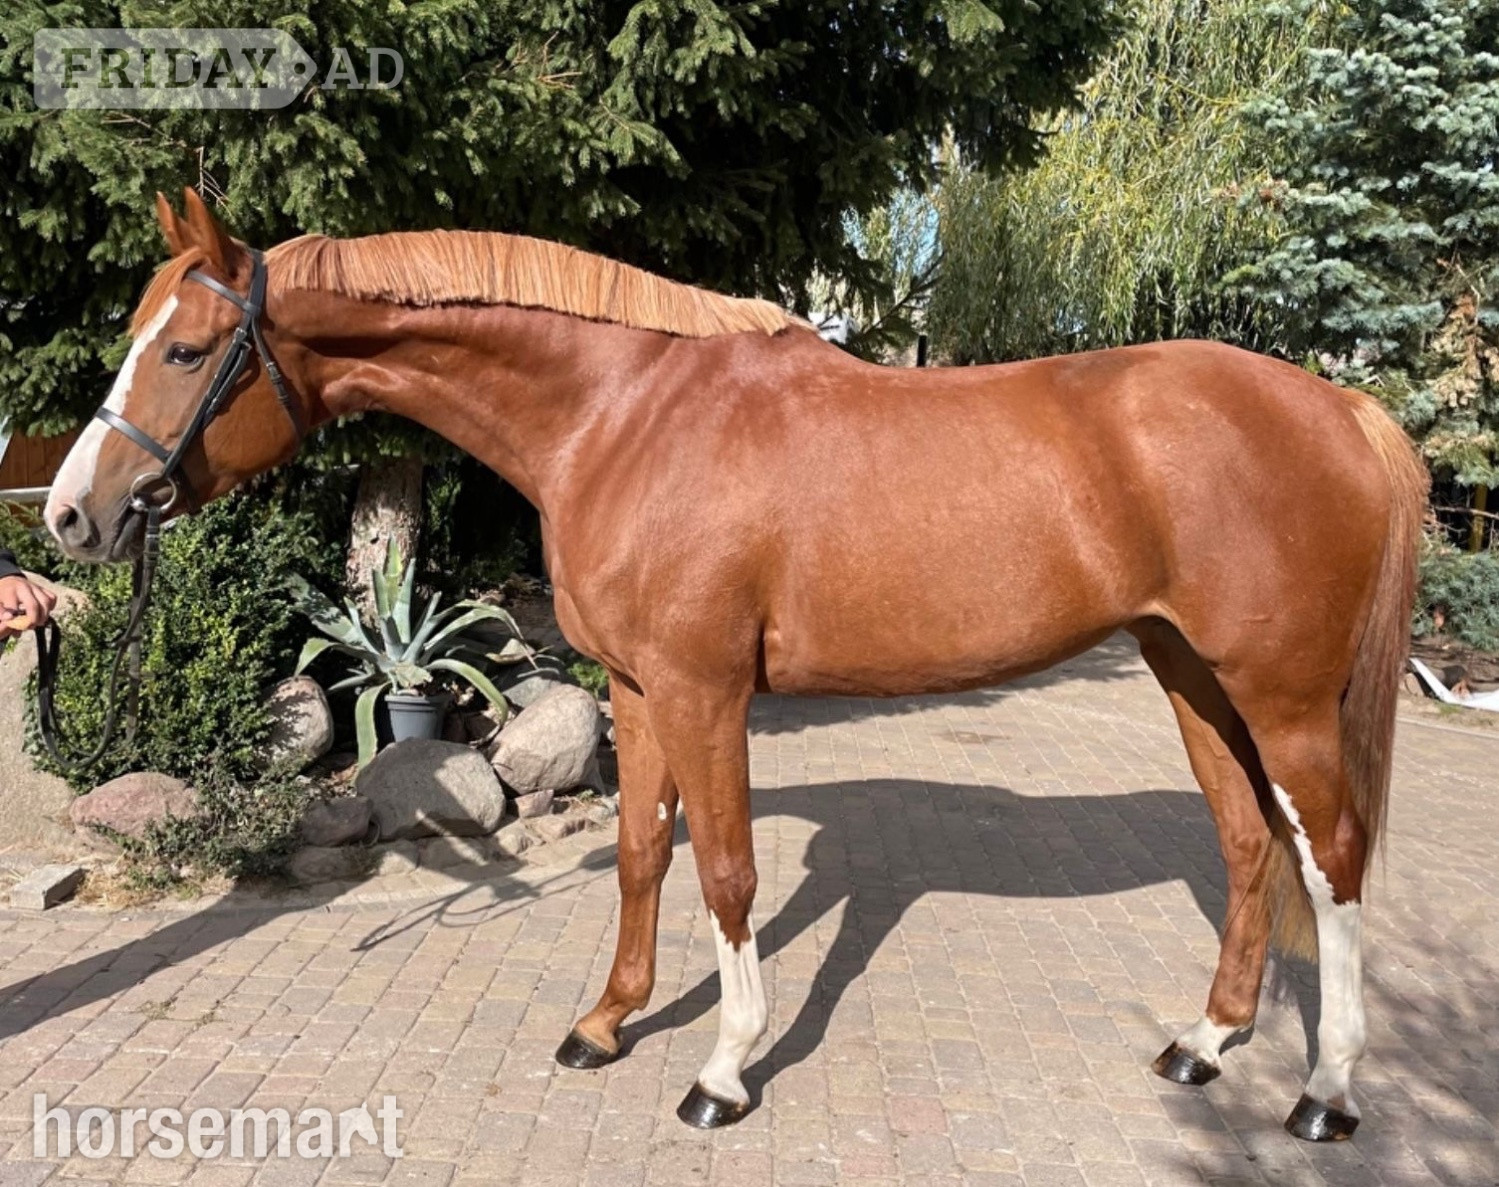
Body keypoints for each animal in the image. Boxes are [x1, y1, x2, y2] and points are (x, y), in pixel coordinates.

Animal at [45, 190, 1428, 1141]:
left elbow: (723, 869)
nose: (69, 515)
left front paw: (720, 1068)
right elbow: (643, 856)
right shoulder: (638, 689)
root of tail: (1340, 408)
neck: (622, 416)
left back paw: (1323, 1091)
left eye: (183, 351)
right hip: (1188, 672)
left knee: (1331, 856)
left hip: (1280, 694)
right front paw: (603, 1023)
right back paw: (1204, 1042)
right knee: (1248, 843)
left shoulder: (705, 690)